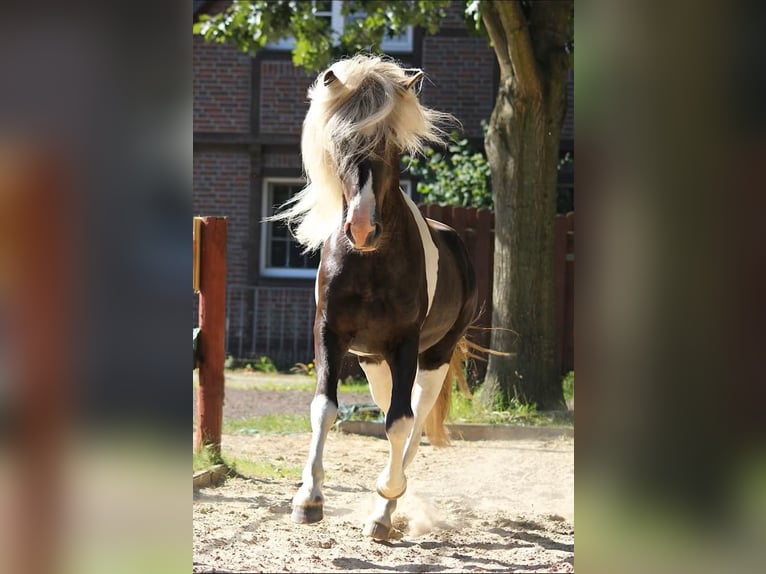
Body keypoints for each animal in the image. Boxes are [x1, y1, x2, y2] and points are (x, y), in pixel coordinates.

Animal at [270, 54, 478, 540]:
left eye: (391, 143)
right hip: (373, 361)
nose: (363, 228)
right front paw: (308, 500)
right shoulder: (330, 333)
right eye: (340, 141)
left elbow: (400, 423)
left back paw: (389, 502)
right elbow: (325, 409)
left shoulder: (405, 344)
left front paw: (383, 509)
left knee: (413, 422)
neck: (369, 263)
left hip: (433, 356)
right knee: (391, 413)